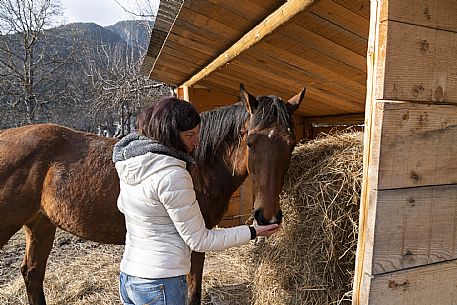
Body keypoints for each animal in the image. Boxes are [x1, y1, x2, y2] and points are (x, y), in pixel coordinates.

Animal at [0, 83, 306, 304]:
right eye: (250, 142)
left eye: (291, 143)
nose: (267, 217)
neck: (198, 163)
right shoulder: (196, 241)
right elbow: (192, 292)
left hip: (40, 225)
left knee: (32, 274)